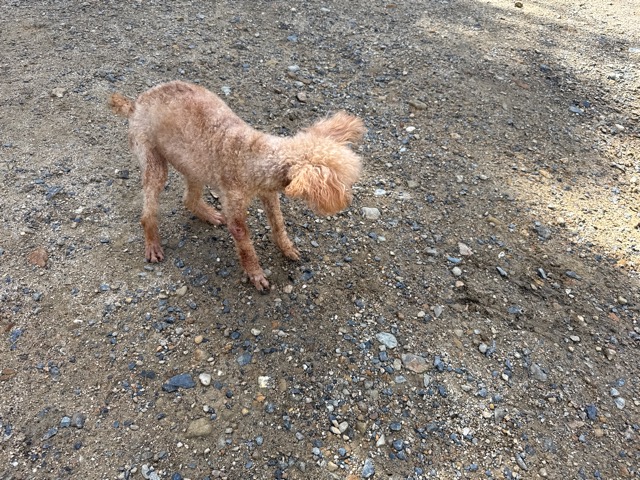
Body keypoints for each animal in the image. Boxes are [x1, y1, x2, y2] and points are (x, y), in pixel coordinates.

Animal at [109, 81, 365, 291]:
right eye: (340, 183)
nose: (348, 201)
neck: (255, 156)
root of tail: (134, 104)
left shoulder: (269, 194)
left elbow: (278, 224)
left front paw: (287, 248)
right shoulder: (236, 212)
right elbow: (246, 248)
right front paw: (256, 275)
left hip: (195, 165)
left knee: (189, 199)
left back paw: (208, 215)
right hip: (153, 160)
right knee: (148, 212)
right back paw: (153, 243)